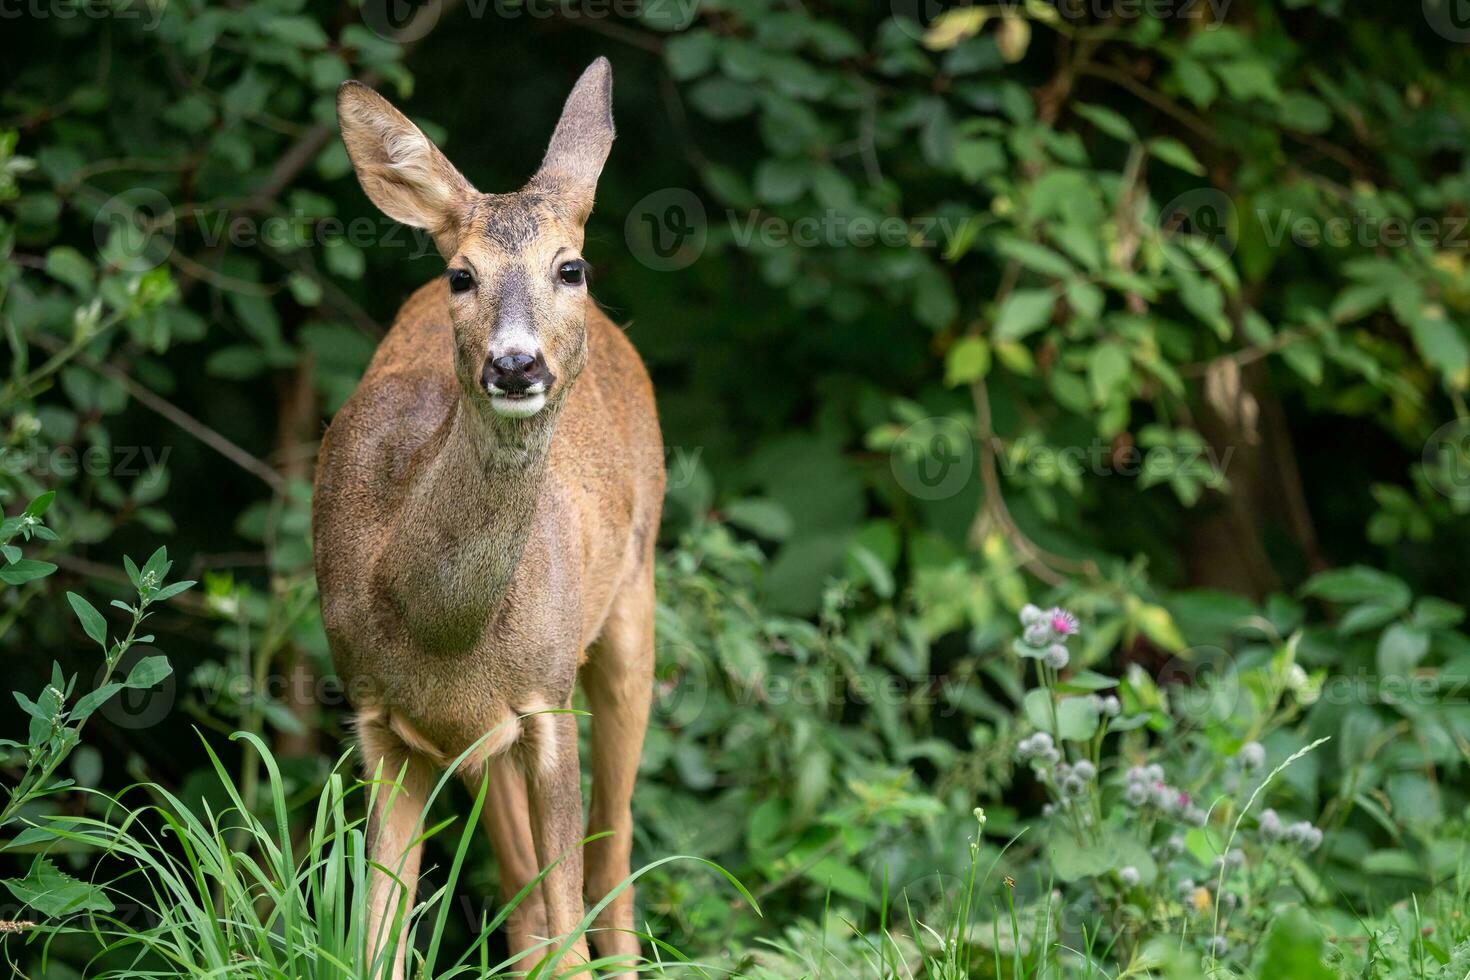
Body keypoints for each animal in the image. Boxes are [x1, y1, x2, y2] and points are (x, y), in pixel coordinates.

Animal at [318, 57, 670, 975]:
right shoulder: (382, 722)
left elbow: (574, 917)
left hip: (633, 603)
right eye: (461, 275)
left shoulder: (547, 703)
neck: (440, 628)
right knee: (522, 893)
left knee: (611, 852)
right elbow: (378, 938)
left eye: (569, 268)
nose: (516, 364)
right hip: (477, 748)